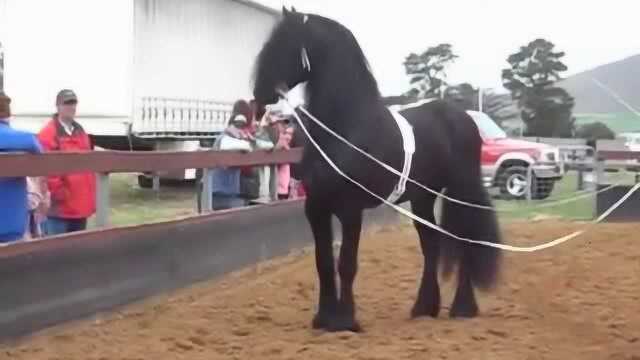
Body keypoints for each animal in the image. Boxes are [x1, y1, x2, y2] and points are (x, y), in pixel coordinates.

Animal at [252, 7, 502, 332]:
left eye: (286, 44)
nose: (259, 96)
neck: (346, 128)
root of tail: (464, 117)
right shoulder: (316, 207)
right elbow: (323, 262)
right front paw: (323, 319)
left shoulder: (350, 209)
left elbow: (346, 263)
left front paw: (345, 321)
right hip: (423, 199)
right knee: (431, 245)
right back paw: (424, 308)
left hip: (461, 192)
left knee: (464, 239)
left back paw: (463, 307)